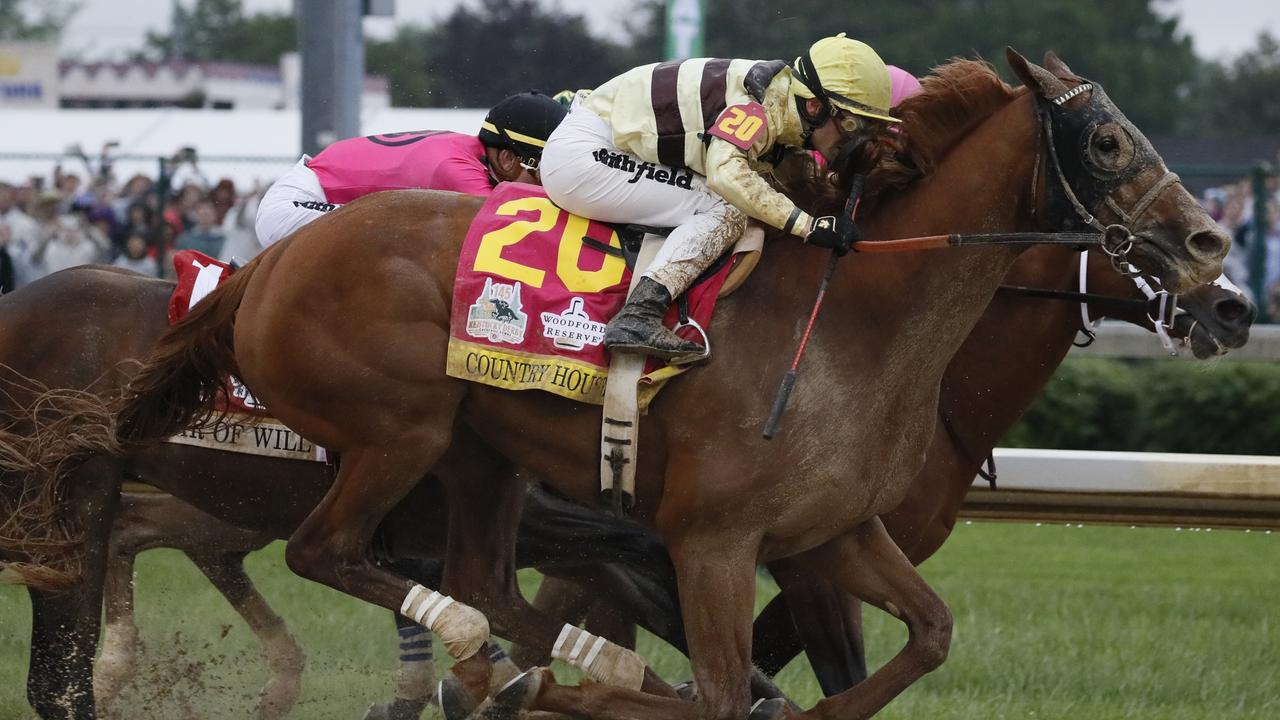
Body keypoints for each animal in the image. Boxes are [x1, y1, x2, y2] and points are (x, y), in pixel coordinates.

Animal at [15, 51, 1223, 717]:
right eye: (1106, 142)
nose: (1218, 267)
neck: (857, 322)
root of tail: (260, 272)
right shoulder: (713, 542)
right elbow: (730, 685)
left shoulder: (831, 531)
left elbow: (923, 637)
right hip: (395, 435)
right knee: (323, 553)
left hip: (474, 463)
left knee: (472, 585)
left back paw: (523, 667)